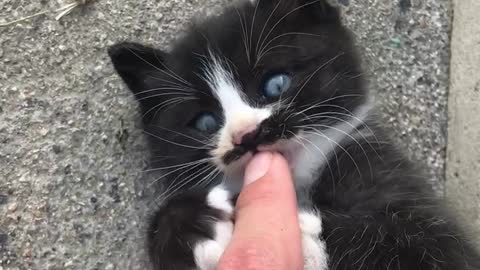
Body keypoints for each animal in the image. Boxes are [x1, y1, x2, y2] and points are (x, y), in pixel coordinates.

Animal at [108, 0, 480, 270]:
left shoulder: (384, 170)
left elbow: (420, 244)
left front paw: (303, 233)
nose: (248, 135)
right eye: (205, 122)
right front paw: (187, 226)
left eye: (276, 85)